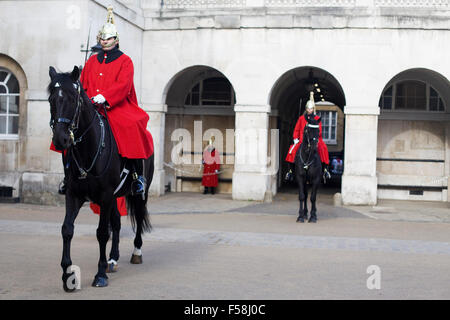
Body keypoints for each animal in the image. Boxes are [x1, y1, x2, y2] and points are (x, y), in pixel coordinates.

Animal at [48, 66, 155, 292]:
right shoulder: (74, 195)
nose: (61, 139)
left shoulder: (105, 195)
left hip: (140, 193)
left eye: (73, 99)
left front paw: (99, 275)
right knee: (116, 222)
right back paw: (112, 259)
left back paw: (136, 253)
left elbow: (102, 233)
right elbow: (67, 230)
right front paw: (67, 275)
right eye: (51, 99)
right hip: (114, 197)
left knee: (138, 216)